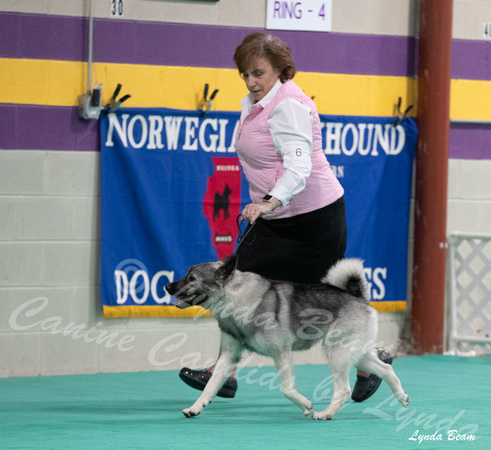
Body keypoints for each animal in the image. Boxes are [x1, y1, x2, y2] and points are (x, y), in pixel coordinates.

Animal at [165, 255, 408, 420]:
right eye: (186, 274)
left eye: (192, 278)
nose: (167, 286)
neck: (238, 300)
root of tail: (356, 295)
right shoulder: (228, 356)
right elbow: (211, 385)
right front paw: (195, 407)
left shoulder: (281, 353)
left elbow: (287, 389)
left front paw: (306, 405)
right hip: (355, 353)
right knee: (386, 369)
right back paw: (401, 396)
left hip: (337, 353)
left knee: (344, 389)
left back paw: (326, 413)